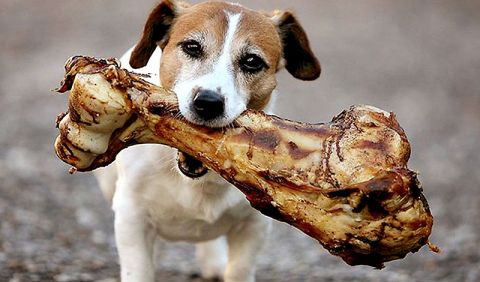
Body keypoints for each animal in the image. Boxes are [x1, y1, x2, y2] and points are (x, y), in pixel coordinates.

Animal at [94, 1, 318, 280]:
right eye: (192, 47)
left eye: (252, 61)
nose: (208, 102)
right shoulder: (131, 216)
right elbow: (138, 269)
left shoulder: (254, 225)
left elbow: (239, 269)